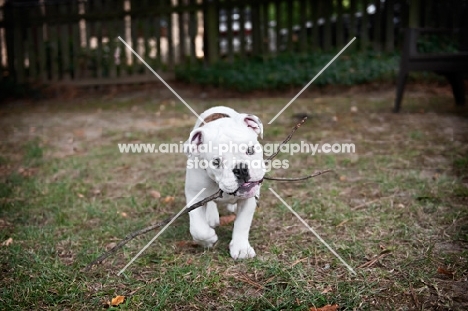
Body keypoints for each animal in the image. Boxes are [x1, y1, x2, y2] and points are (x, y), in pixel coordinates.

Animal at [184, 107, 266, 260]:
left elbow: (242, 223)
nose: (240, 169)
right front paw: (209, 239)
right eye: (216, 162)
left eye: (250, 150)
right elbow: (198, 229)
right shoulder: (194, 197)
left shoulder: (248, 199)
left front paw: (241, 248)